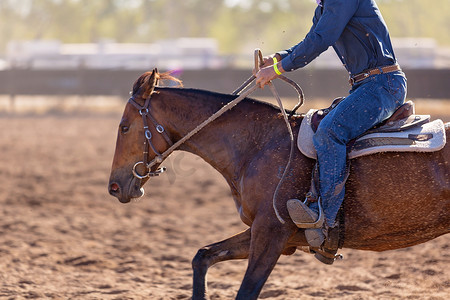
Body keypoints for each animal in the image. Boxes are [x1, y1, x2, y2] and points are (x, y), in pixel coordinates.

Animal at [109, 69, 450, 298]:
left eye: (124, 127)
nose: (114, 186)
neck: (258, 145)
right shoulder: (270, 233)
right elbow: (203, 255)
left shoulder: (271, 232)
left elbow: (246, 291)